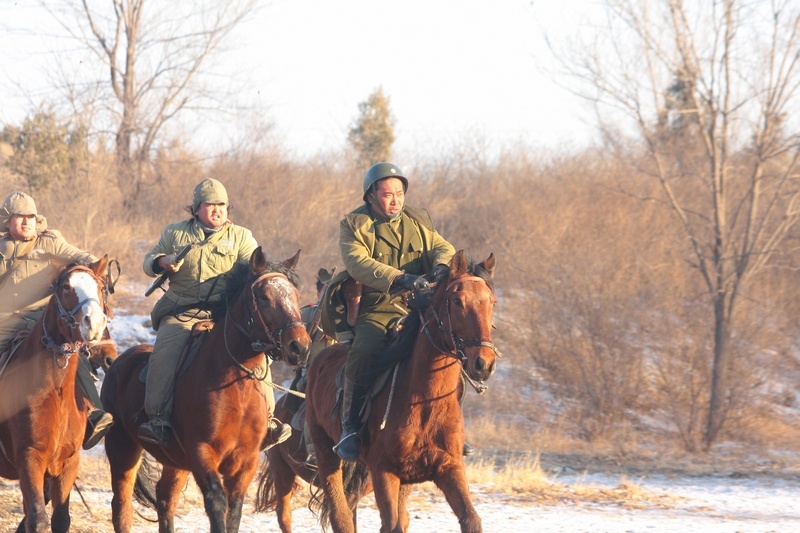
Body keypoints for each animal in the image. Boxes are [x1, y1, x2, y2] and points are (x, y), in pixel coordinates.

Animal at [0, 256, 112, 528]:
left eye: (99, 287)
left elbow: (60, 518)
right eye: (66, 287)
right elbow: (38, 519)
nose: (94, 324)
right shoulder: (30, 459)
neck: (54, 392)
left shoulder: (67, 464)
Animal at [101, 247, 312, 528]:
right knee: (122, 506)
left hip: (175, 462)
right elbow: (217, 504)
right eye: (264, 297)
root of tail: (118, 362)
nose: (299, 347)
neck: (236, 384)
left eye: (295, 296)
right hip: (122, 446)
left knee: (165, 500)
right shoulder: (201, 453)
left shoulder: (247, 461)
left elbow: (234, 511)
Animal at [304, 250, 496, 532]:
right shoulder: (384, 471)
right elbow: (391, 523)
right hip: (325, 452)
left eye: (492, 302)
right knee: (342, 515)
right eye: (457, 300)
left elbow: (471, 519)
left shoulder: (448, 468)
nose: (484, 364)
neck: (424, 403)